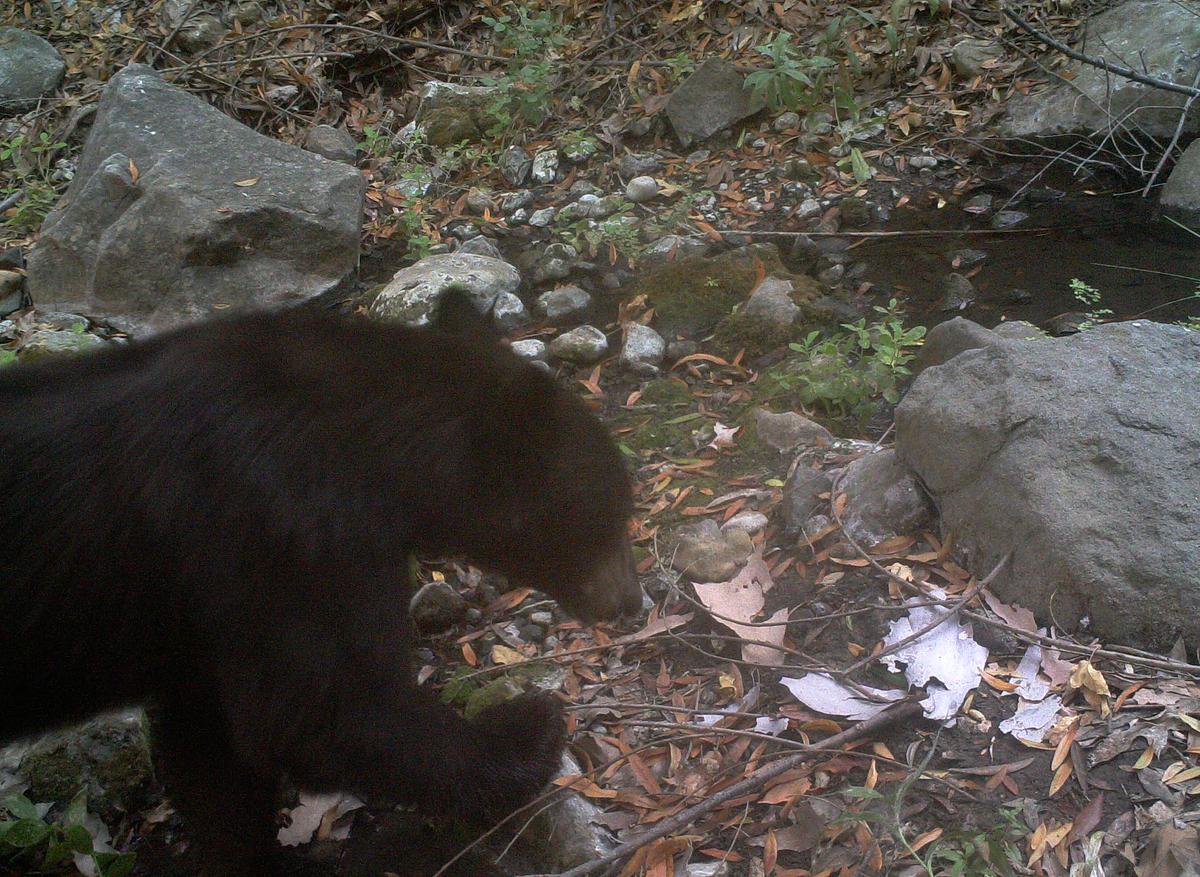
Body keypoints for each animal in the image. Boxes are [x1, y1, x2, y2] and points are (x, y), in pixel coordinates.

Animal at [0, 289, 641, 876]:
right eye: (610, 513)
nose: (632, 601)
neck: (371, 448)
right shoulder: (285, 532)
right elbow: (322, 710)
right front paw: (528, 731)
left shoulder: (205, 624)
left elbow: (213, 747)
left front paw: (246, 855)